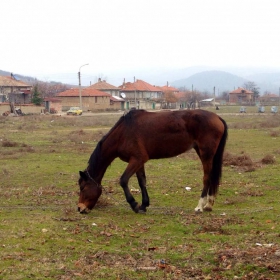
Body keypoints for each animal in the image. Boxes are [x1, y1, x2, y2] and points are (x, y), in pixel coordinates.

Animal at [77, 108, 228, 213]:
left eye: (83, 188)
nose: (80, 208)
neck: (123, 133)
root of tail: (217, 117)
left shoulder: (137, 160)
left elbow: (123, 180)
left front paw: (134, 204)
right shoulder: (138, 162)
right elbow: (142, 182)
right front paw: (144, 205)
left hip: (206, 153)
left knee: (207, 178)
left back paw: (200, 206)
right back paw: (209, 204)